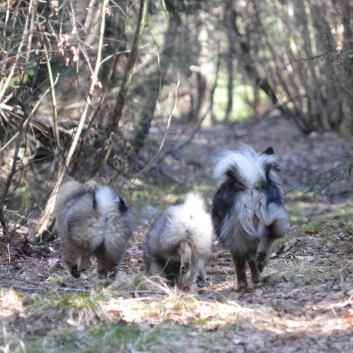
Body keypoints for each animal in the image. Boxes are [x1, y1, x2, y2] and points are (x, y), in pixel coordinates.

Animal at [210, 144, 288, 290]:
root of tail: (250, 186)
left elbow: (238, 263)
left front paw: (242, 283)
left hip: (238, 231)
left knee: (249, 256)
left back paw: (249, 281)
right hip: (269, 223)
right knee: (261, 248)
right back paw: (258, 272)